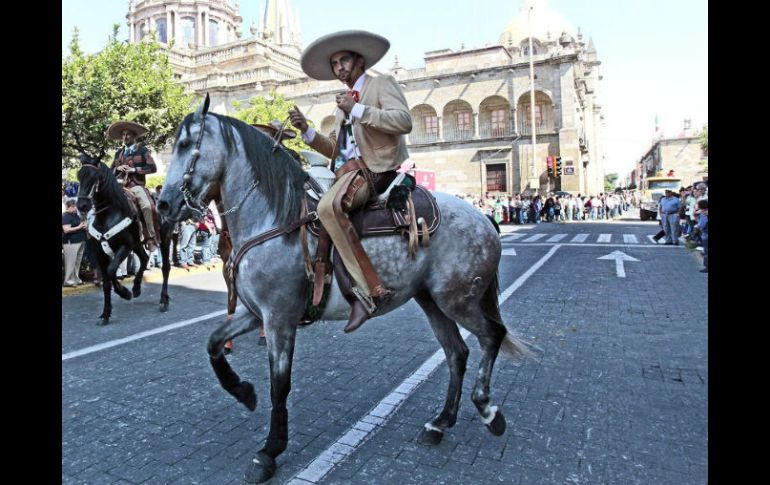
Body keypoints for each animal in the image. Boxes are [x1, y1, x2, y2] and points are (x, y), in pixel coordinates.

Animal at [74, 153, 171, 324]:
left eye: (94, 177)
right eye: (79, 176)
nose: (82, 206)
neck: (108, 215)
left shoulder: (125, 246)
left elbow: (111, 270)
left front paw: (124, 292)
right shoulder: (100, 252)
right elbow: (106, 280)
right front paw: (106, 313)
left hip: (165, 240)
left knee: (165, 267)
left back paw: (163, 300)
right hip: (138, 244)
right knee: (144, 258)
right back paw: (137, 288)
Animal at [156, 95, 528, 484]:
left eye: (186, 144)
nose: (164, 204)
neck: (274, 219)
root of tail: (482, 217)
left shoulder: (279, 318)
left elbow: (279, 385)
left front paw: (270, 451)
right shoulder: (253, 312)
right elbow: (213, 344)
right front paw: (243, 392)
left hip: (457, 300)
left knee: (492, 336)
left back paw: (487, 409)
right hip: (432, 300)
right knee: (457, 353)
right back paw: (440, 423)